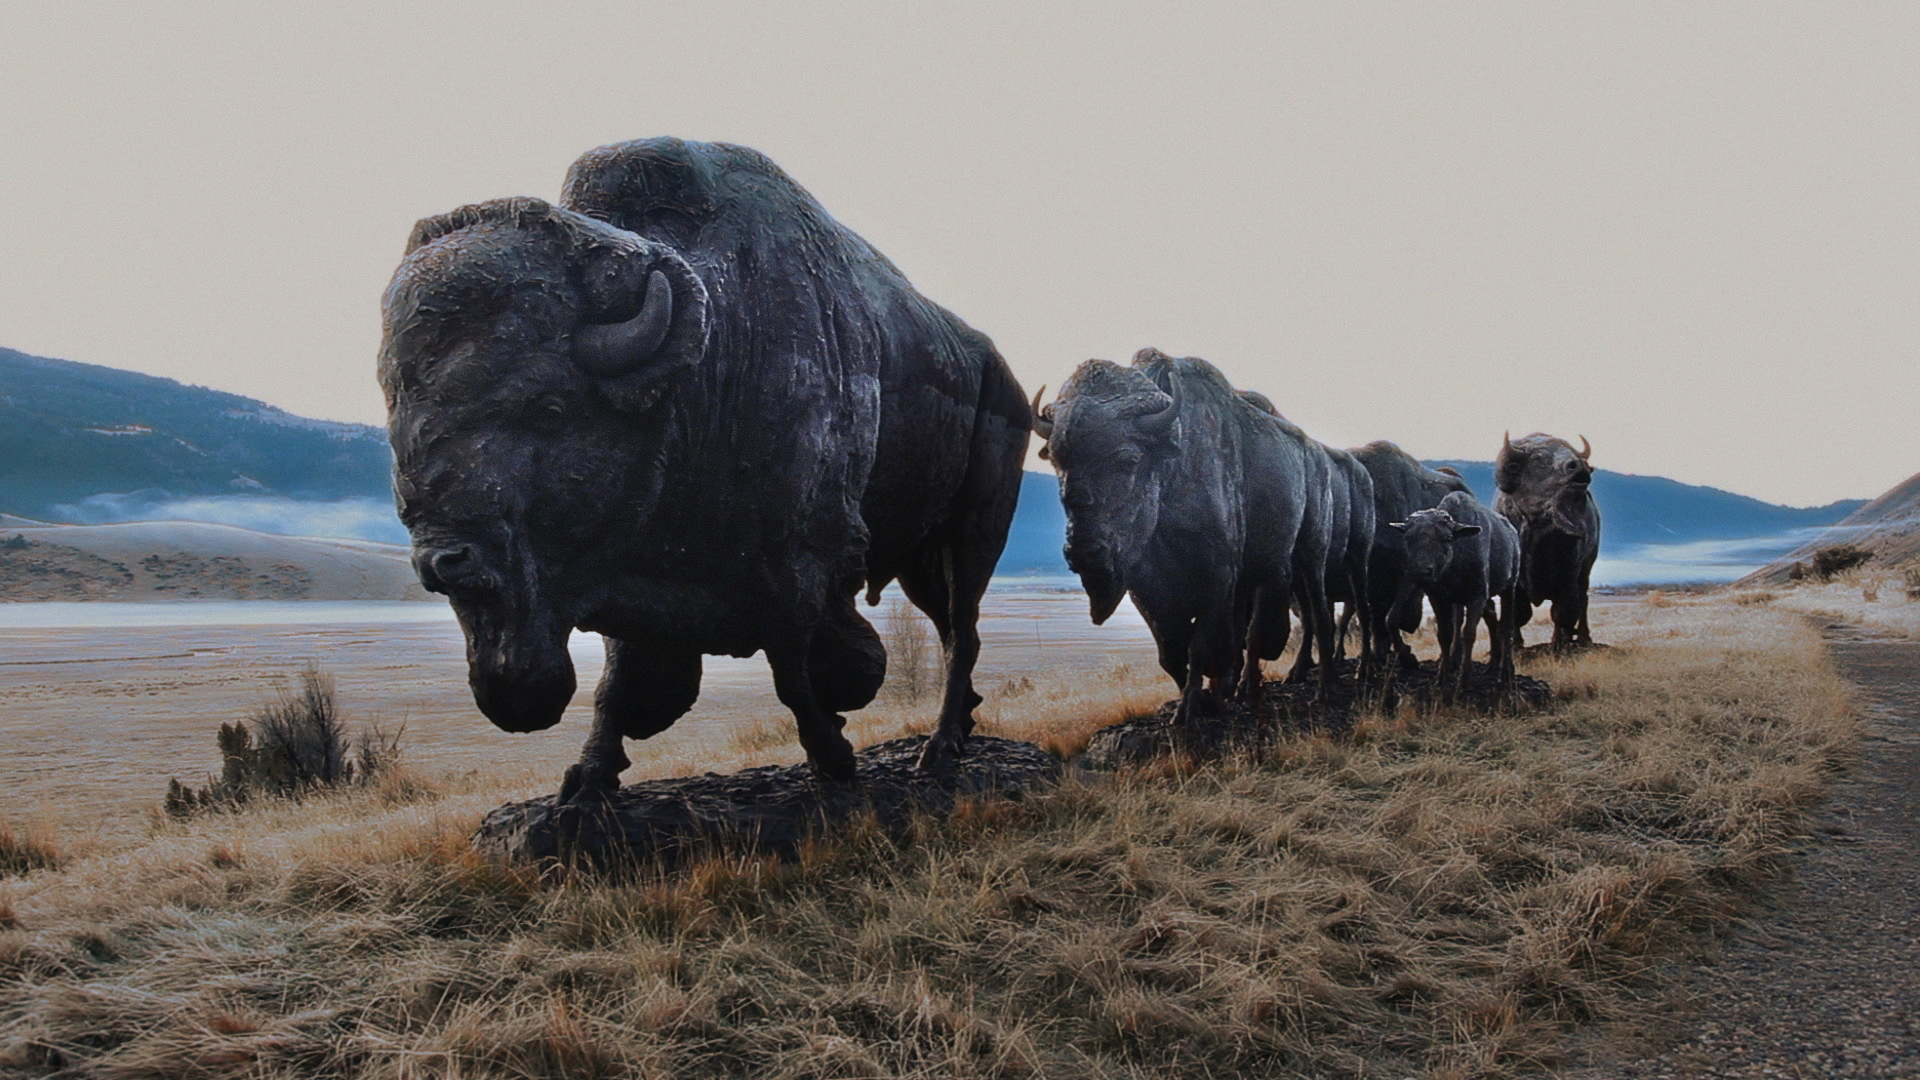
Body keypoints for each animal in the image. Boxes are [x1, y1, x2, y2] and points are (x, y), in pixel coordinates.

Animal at [380, 136, 1029, 791]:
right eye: (399, 419)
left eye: (550, 407)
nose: (444, 561)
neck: (716, 347)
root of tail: (998, 370)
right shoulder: (625, 572)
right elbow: (618, 683)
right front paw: (587, 779)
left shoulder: (803, 560)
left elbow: (793, 669)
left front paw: (834, 759)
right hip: (919, 559)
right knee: (952, 631)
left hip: (973, 533)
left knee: (961, 633)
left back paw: (939, 750)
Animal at [1489, 430, 1597, 645]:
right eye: (1537, 458)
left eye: (1572, 451)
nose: (1579, 466)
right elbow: (1518, 612)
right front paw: (1516, 643)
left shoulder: (1569, 574)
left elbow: (1563, 611)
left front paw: (1560, 643)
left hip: (1586, 569)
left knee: (1582, 599)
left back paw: (1580, 638)